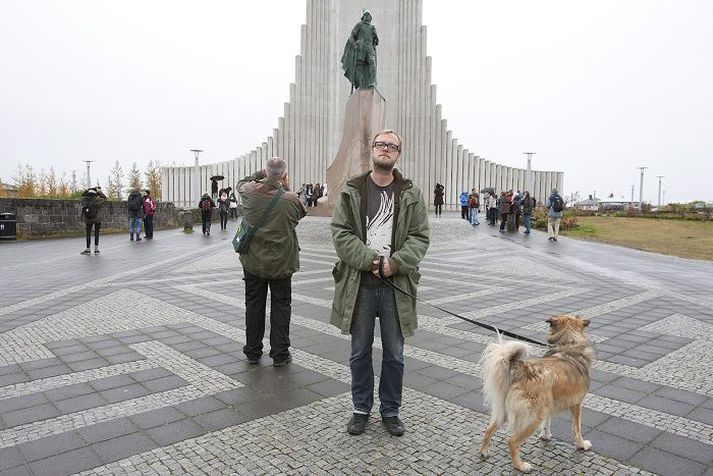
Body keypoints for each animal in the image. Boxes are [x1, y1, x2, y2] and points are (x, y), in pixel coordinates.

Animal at [478, 316, 596, 472]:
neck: (567, 345)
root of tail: (522, 371)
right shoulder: (577, 405)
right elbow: (577, 428)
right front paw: (581, 445)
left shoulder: (548, 405)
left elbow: (547, 423)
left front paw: (545, 436)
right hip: (533, 418)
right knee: (512, 441)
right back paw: (521, 466)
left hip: (504, 412)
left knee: (488, 430)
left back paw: (484, 451)